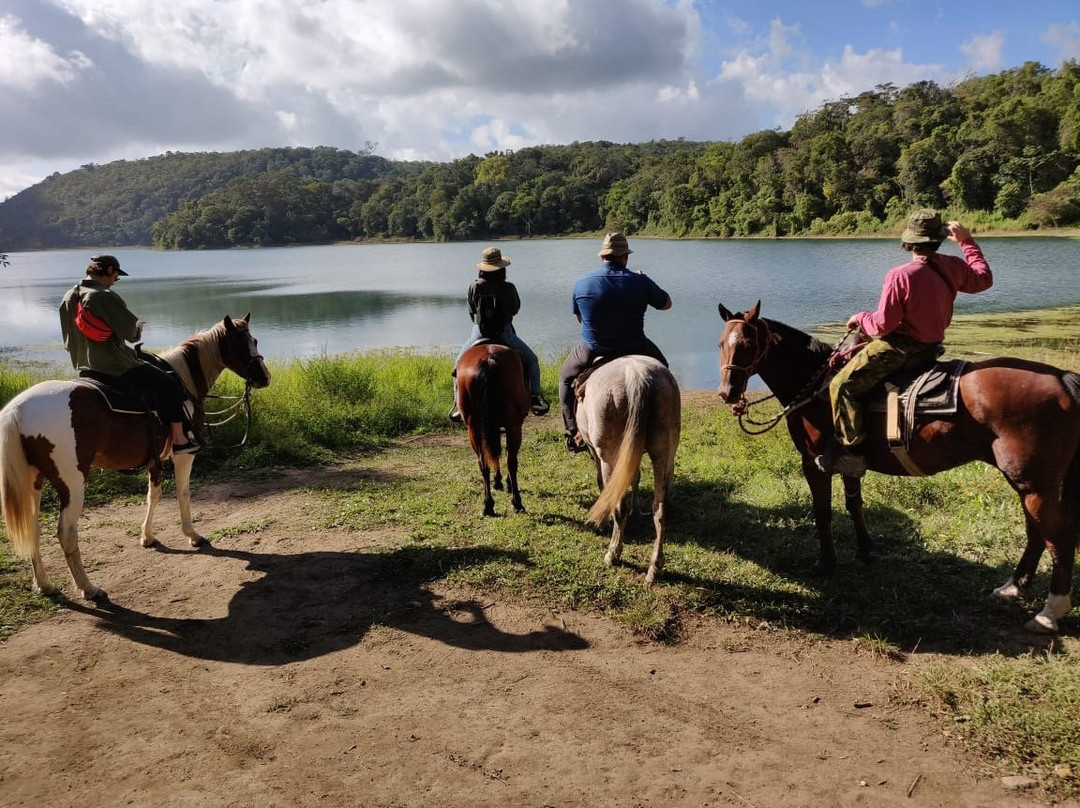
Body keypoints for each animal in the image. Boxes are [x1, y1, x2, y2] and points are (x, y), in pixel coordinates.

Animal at [0, 315, 270, 600]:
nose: (264, 377)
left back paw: (44, 584)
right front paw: (192, 535)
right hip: (71, 485)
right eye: (243, 342)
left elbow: (154, 496)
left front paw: (147, 537)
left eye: (254, 339)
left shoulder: (155, 460)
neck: (183, 382)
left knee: (33, 529)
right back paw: (88, 587)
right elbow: (183, 494)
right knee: (66, 533)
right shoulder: (184, 455)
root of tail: (17, 410)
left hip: (34, 481)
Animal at [453, 341, 529, 518]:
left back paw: (488, 505)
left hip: (473, 428)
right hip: (513, 425)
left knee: (484, 463)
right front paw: (502, 483)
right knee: (511, 461)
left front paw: (498, 482)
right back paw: (516, 501)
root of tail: (487, 360)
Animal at [578, 356, 678, 583]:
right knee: (660, 508)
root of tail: (638, 376)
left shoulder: (597, 454)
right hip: (663, 456)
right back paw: (655, 567)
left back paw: (613, 554)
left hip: (610, 457)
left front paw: (603, 522)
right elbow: (635, 477)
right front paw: (636, 509)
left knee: (618, 505)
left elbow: (603, 485)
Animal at [717, 300, 1080, 635]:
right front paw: (865, 551)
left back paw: (1049, 613)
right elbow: (854, 505)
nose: (727, 392)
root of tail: (1062, 379)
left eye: (747, 344)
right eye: (721, 343)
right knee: (1036, 534)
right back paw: (1012, 588)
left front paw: (826, 562)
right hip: (1030, 484)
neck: (815, 384)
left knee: (1058, 539)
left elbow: (823, 513)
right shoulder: (849, 463)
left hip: (1034, 485)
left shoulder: (814, 463)